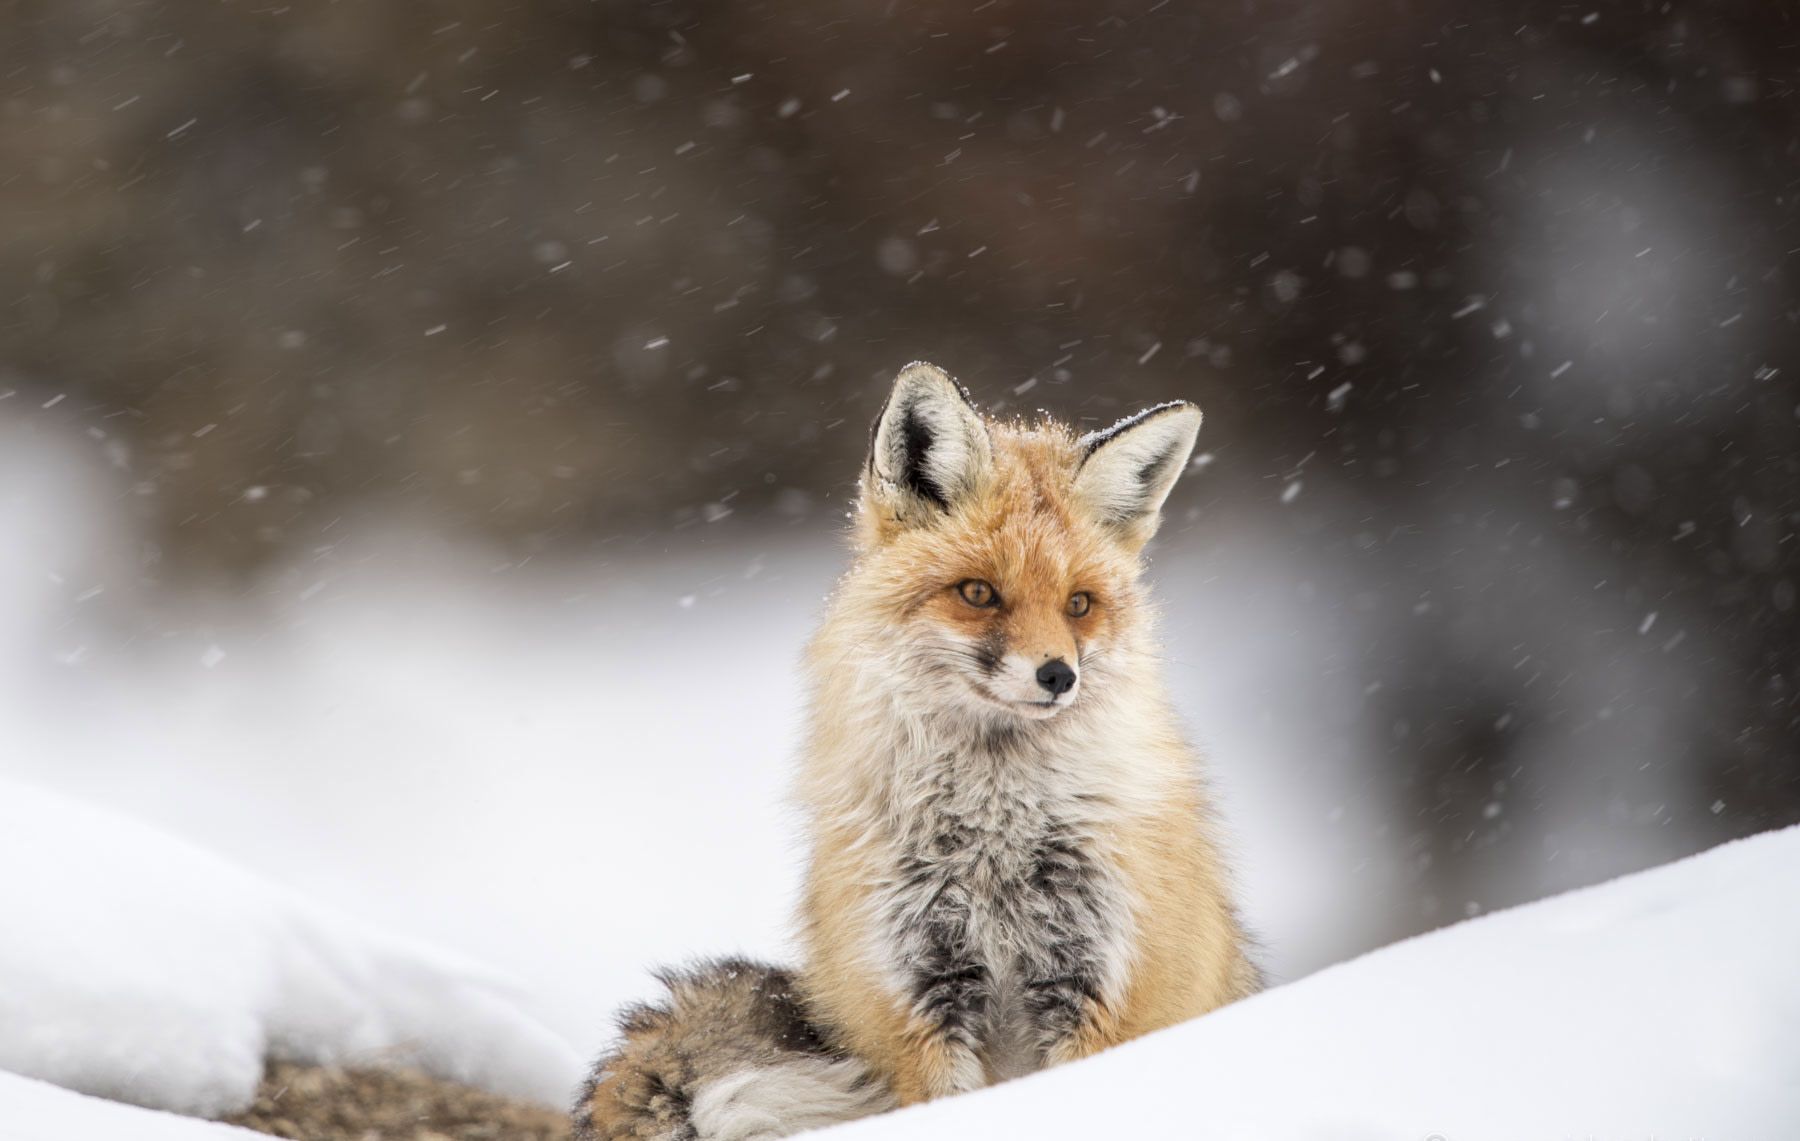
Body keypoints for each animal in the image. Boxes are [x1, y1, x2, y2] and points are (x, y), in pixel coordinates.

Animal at [575, 362, 1259, 1140]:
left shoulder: (1100, 984)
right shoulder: (921, 996)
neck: (998, 832)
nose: (1059, 675)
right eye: (979, 593)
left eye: (1080, 604)